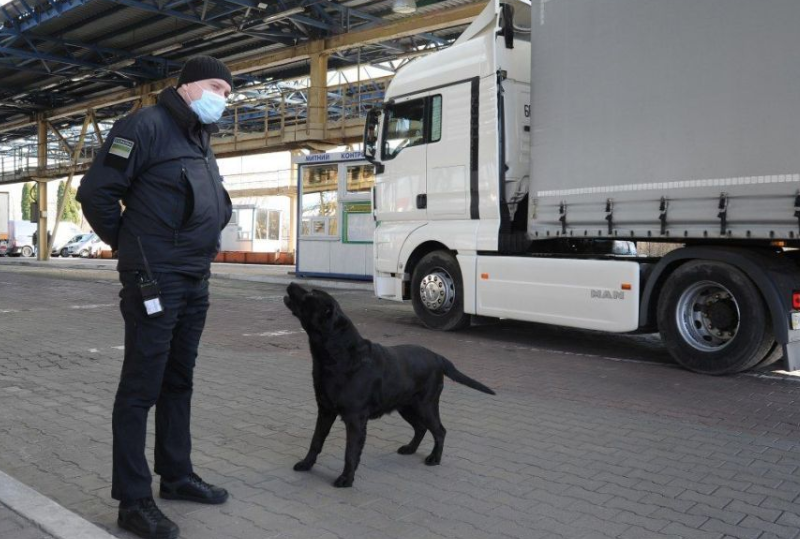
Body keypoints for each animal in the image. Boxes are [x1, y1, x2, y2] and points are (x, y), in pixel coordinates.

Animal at [282, 282, 494, 490]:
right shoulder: (325, 410)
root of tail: (438, 357)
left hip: (425, 405)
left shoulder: (355, 418)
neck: (338, 355)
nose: (291, 283)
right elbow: (316, 441)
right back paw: (410, 449)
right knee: (421, 428)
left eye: (310, 295)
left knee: (440, 431)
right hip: (407, 407)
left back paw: (434, 458)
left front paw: (346, 479)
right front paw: (306, 464)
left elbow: (350, 452)